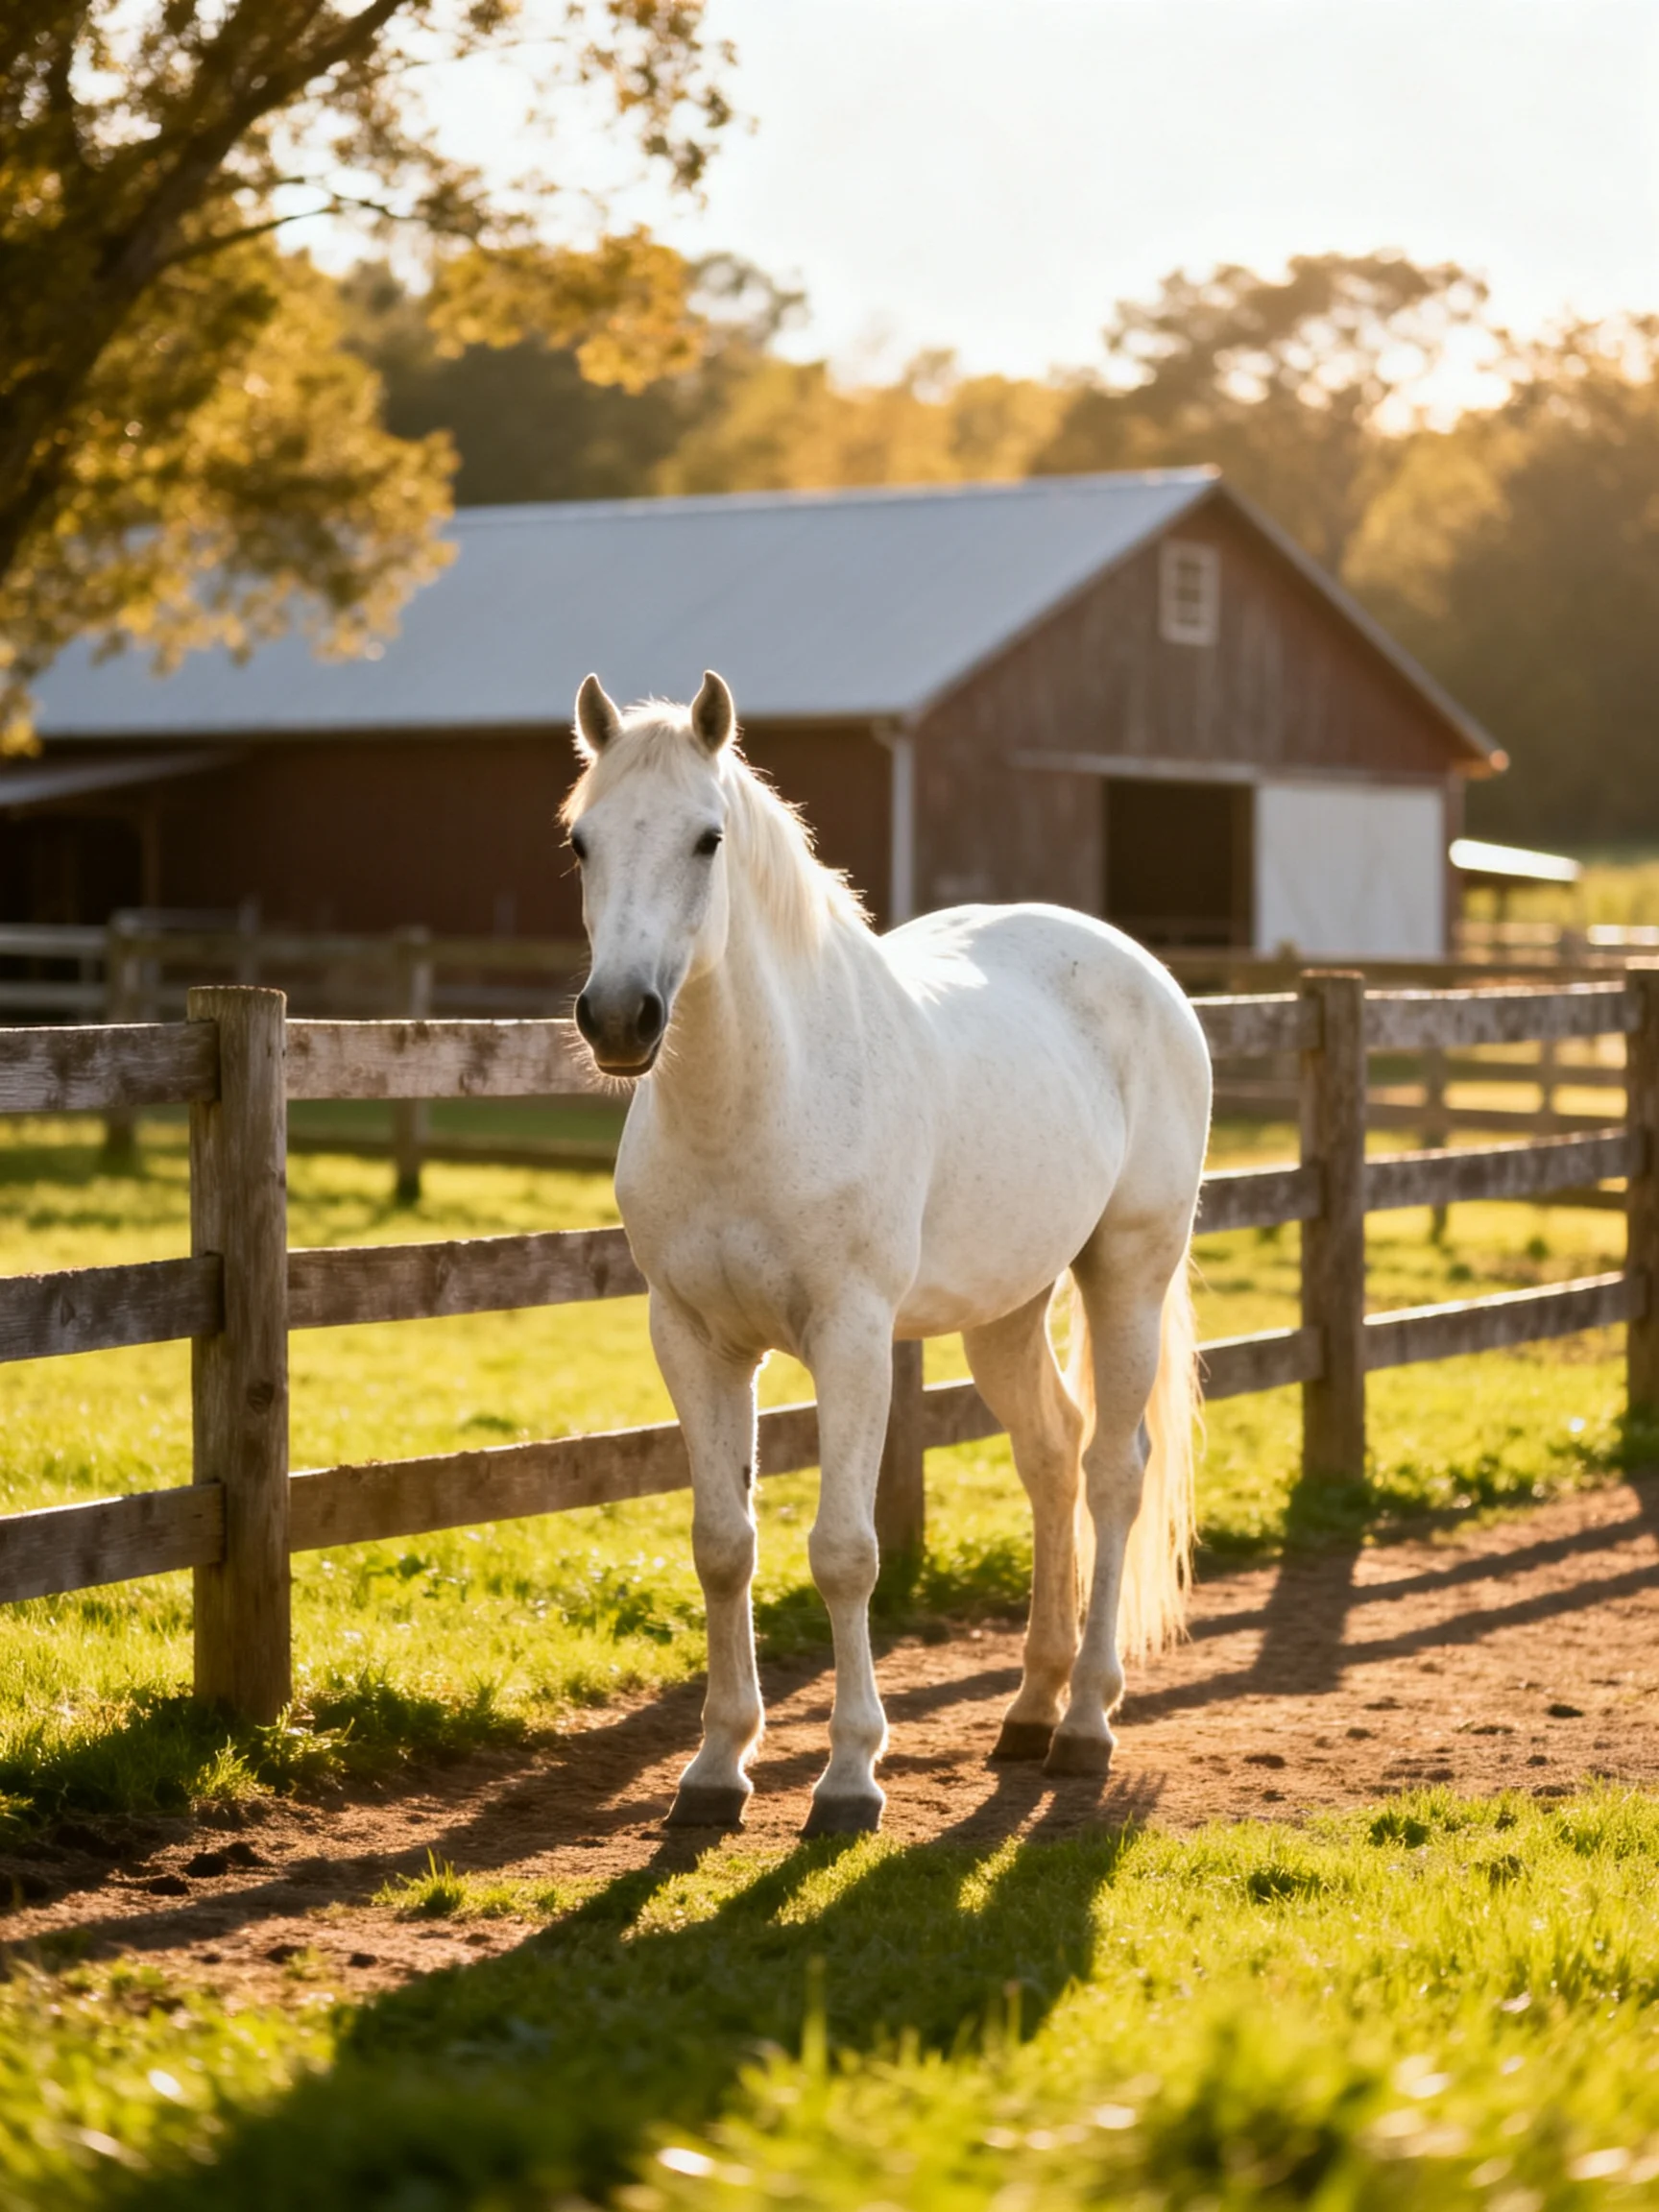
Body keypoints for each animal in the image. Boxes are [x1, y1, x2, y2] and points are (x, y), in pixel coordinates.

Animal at [563, 670, 1212, 1836]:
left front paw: (849, 1778)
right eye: (582, 841)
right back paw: (1031, 1708)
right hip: (1009, 1309)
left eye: (707, 838)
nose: (620, 1018)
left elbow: (844, 1553)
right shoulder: (693, 1339)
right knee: (1051, 1456)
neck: (756, 1099)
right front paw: (714, 1769)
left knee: (1112, 1473)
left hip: (1127, 1275)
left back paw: (1087, 1724)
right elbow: (722, 1546)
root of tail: (1141, 969)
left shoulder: (852, 1337)